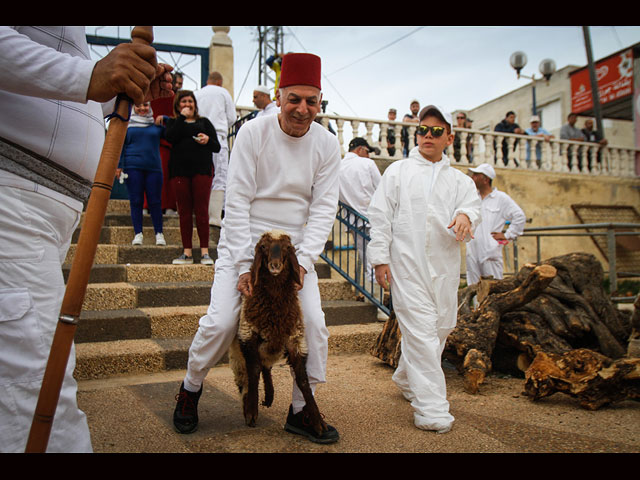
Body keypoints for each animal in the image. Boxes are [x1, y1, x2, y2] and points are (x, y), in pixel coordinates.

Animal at [228, 229, 328, 436]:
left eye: (287, 248)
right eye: (263, 247)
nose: (275, 265)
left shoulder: (294, 339)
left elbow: (303, 381)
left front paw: (316, 421)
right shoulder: (248, 335)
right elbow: (254, 372)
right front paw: (251, 412)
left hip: (272, 346)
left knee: (266, 366)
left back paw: (269, 395)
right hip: (238, 355)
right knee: (246, 378)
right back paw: (248, 401)